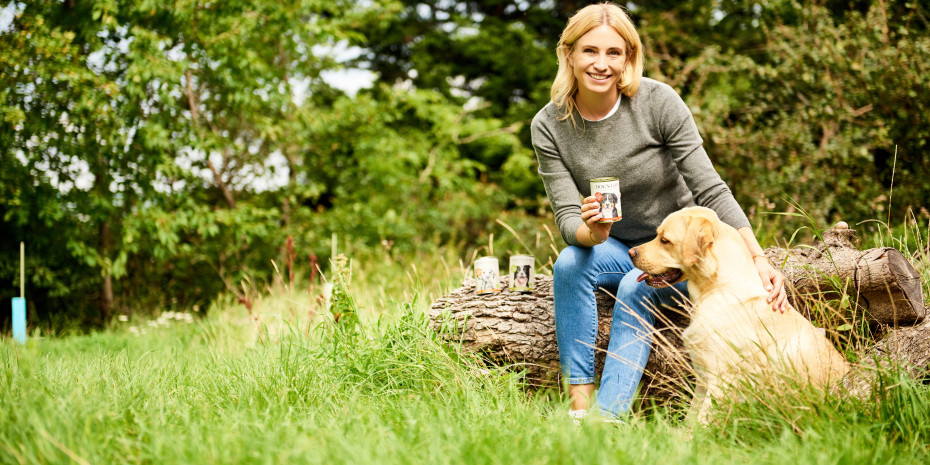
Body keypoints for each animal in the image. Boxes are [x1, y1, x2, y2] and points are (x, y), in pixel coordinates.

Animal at [624, 207, 848, 424]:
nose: (630, 252)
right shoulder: (703, 377)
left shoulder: (722, 380)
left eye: (665, 240)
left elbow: (700, 423)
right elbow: (690, 421)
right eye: (657, 235)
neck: (718, 287)